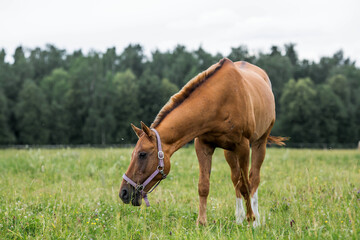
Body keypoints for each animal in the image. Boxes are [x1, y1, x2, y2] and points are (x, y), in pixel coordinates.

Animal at [119, 57, 286, 226]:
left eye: (142, 154)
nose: (123, 193)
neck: (219, 100)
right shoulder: (203, 146)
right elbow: (204, 185)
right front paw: (202, 222)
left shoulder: (243, 147)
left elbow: (246, 185)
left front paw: (251, 220)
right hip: (229, 152)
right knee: (235, 180)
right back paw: (239, 219)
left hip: (259, 143)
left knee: (253, 178)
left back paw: (255, 220)